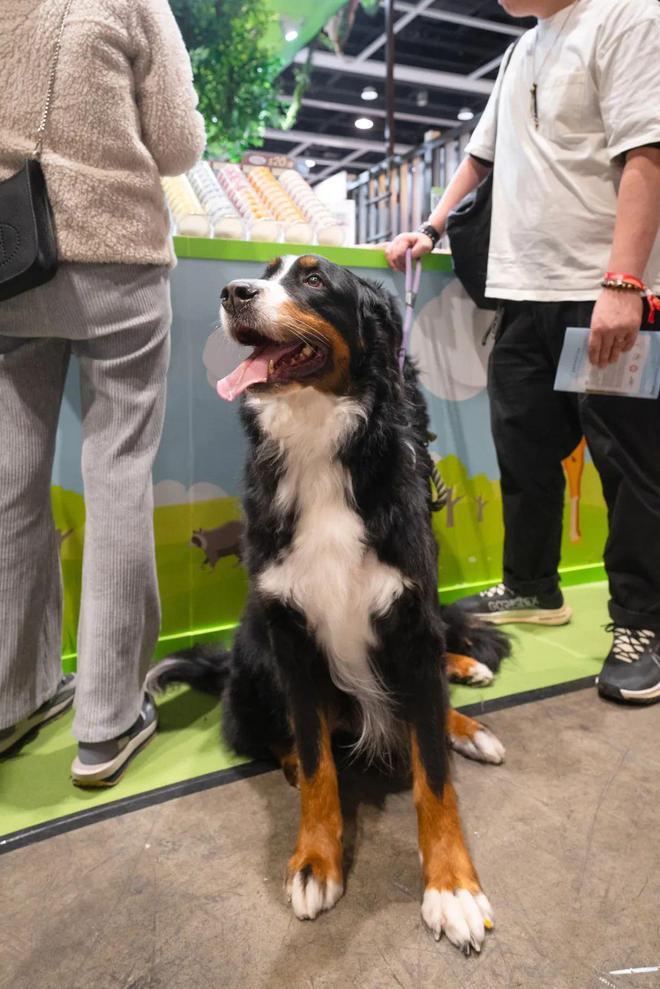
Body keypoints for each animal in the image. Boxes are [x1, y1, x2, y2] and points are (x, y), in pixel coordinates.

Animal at [150, 255, 510, 956]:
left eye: (314, 281)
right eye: (265, 274)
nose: (233, 293)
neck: (319, 446)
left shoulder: (410, 617)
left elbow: (433, 773)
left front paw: (451, 885)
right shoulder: (289, 634)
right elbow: (318, 764)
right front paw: (317, 860)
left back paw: (468, 718)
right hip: (254, 651)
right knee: (274, 736)